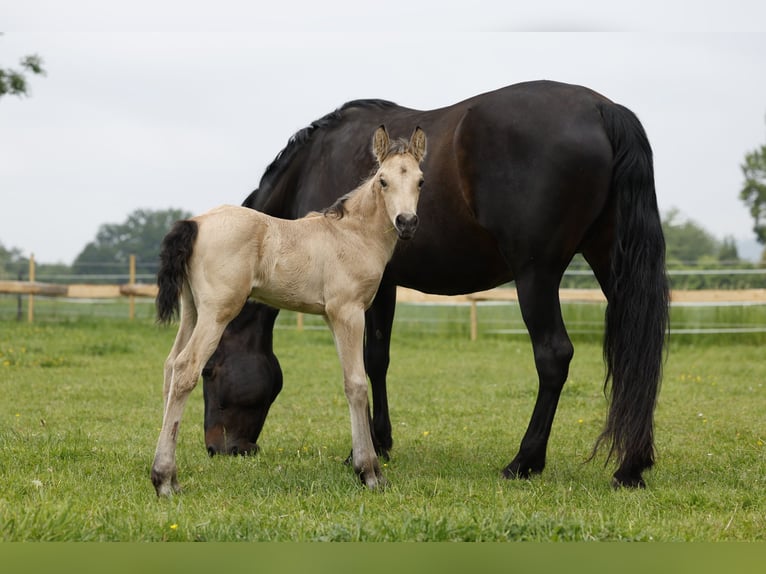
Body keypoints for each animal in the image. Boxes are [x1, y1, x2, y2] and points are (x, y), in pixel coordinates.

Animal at [201, 79, 668, 488]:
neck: (318, 163)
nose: (217, 449)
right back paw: (630, 468)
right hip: (609, 263)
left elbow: (369, 361)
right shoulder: (381, 285)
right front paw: (381, 443)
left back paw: (524, 461)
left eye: (209, 370)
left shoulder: (367, 289)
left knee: (554, 356)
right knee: (635, 349)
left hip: (536, 274)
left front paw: (367, 450)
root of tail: (603, 109)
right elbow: (379, 360)